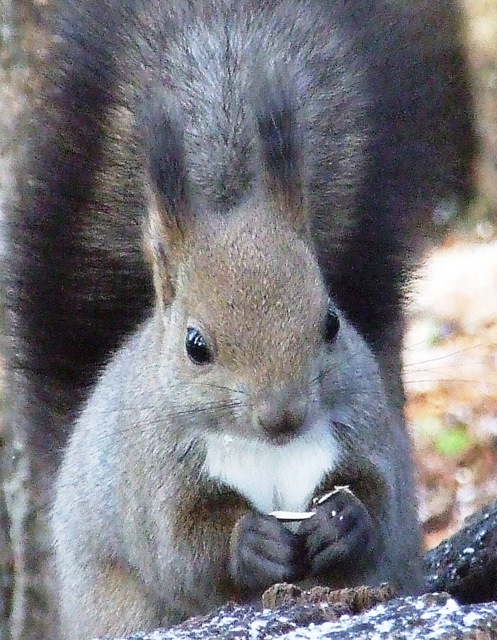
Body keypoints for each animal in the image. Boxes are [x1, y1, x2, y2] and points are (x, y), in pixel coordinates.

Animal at [3, 1, 474, 640]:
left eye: (331, 322)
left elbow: (380, 500)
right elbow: (181, 548)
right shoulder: (150, 478)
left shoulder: (367, 428)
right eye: (194, 345)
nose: (283, 416)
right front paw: (248, 543)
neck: (263, 449)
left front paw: (342, 521)